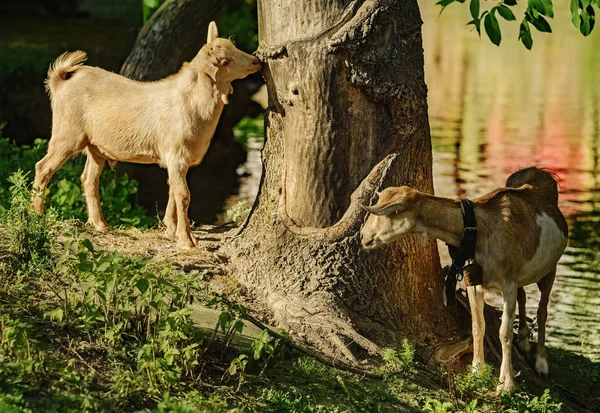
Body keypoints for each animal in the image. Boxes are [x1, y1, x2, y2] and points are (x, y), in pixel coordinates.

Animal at [32, 21, 262, 248]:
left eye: (233, 47)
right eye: (224, 60)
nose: (257, 61)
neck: (192, 103)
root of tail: (59, 83)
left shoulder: (178, 160)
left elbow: (172, 191)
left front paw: (170, 230)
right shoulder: (176, 155)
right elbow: (183, 194)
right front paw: (186, 240)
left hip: (95, 146)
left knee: (88, 179)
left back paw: (101, 225)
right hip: (66, 134)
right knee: (43, 168)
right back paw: (37, 214)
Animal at [360, 167, 568, 390]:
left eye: (389, 212)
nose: (363, 236)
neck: (477, 230)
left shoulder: (508, 284)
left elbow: (504, 333)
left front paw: (507, 383)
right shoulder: (473, 283)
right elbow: (477, 326)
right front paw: (477, 370)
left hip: (550, 269)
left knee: (542, 311)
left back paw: (541, 362)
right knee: (524, 296)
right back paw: (523, 339)